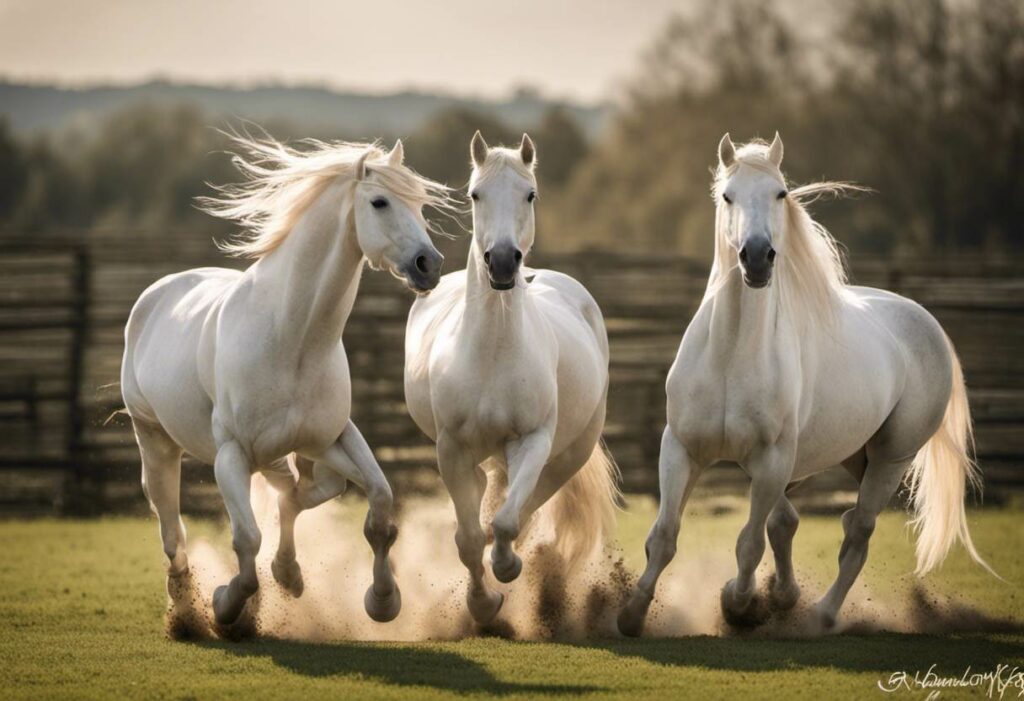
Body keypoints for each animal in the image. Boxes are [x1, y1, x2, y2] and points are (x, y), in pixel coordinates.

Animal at [119, 134, 448, 626]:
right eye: (380, 202)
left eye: (421, 205)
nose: (429, 264)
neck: (292, 337)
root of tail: (155, 295)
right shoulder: (231, 455)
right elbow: (248, 537)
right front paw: (226, 603)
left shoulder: (331, 436)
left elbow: (376, 505)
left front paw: (382, 600)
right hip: (156, 441)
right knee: (171, 527)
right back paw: (185, 608)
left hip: (282, 453)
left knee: (293, 494)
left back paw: (288, 574)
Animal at [405, 130, 614, 622]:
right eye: (475, 194)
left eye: (530, 194)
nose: (502, 261)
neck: (493, 355)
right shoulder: (452, 449)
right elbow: (467, 539)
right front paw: (482, 604)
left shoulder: (532, 441)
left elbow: (505, 521)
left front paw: (507, 569)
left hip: (567, 454)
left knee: (527, 505)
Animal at [614, 130, 991, 634]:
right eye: (728, 196)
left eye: (780, 194)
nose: (756, 258)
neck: (731, 354)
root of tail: (926, 321)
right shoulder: (681, 448)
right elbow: (666, 535)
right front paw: (632, 614)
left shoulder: (772, 459)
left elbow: (750, 542)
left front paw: (738, 605)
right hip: (853, 456)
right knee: (820, 521)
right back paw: (788, 598)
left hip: (891, 457)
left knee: (858, 531)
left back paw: (820, 616)